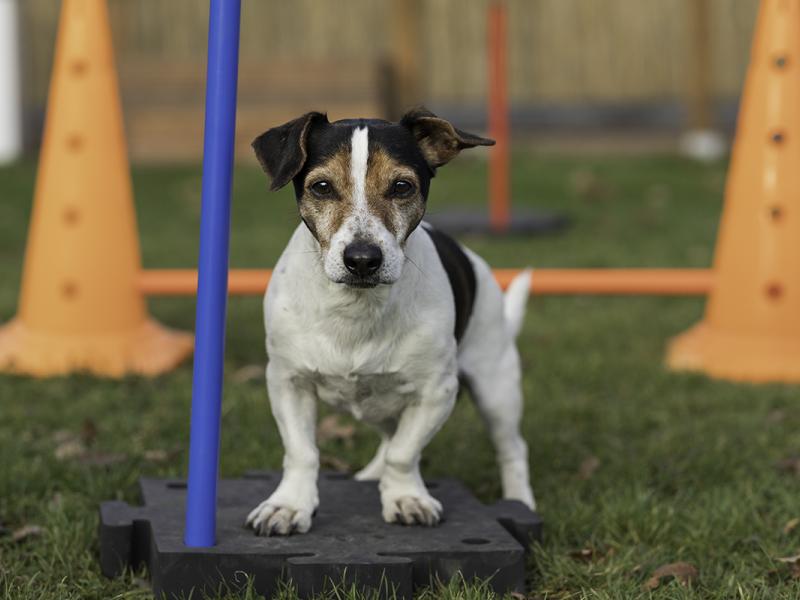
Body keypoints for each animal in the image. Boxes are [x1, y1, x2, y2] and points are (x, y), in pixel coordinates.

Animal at [244, 110, 532, 536]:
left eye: (401, 187)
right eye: (322, 187)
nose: (362, 259)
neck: (356, 309)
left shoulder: (436, 392)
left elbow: (404, 453)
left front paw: (406, 498)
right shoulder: (288, 382)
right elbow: (302, 451)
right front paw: (289, 505)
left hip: (496, 388)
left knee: (511, 447)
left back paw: (520, 501)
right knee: (388, 435)